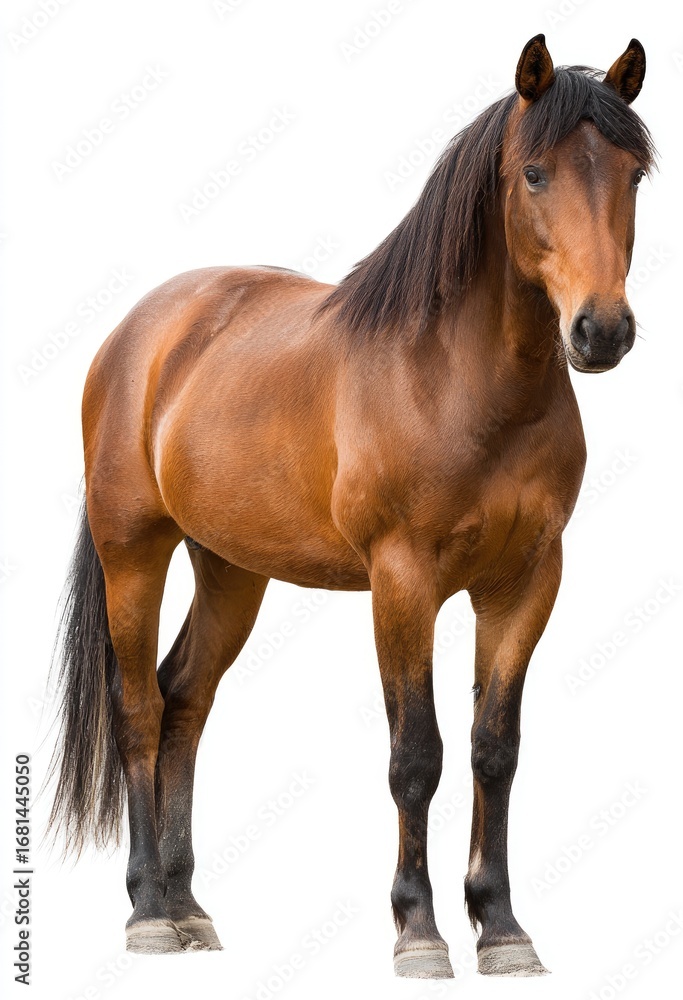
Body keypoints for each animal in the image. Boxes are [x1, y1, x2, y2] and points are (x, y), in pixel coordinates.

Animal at [48, 34, 653, 979]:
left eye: (632, 174)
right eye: (534, 173)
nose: (601, 332)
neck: (459, 379)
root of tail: (138, 335)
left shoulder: (526, 582)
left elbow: (494, 750)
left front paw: (502, 929)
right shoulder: (402, 583)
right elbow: (417, 756)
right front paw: (419, 933)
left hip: (231, 570)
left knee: (185, 698)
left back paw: (190, 909)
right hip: (133, 551)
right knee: (139, 707)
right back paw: (148, 912)